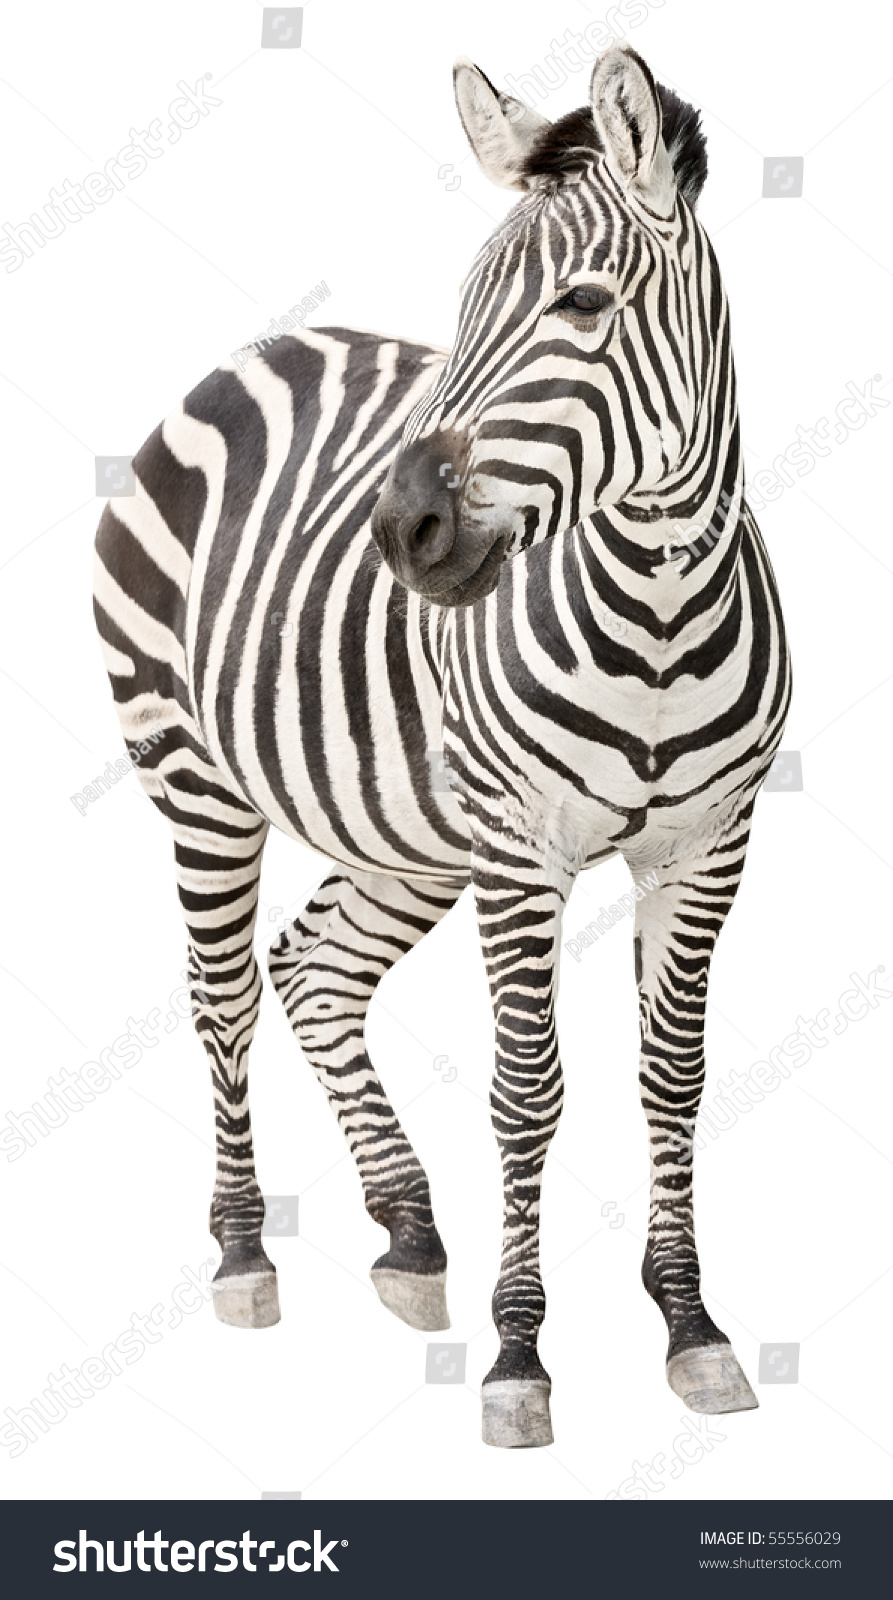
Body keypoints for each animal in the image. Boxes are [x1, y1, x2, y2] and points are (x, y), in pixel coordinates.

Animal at [93, 45, 790, 1449]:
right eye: (461, 310)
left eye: (581, 304)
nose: (400, 530)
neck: (657, 614)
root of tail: (241, 358)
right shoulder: (521, 858)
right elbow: (527, 1093)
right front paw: (518, 1358)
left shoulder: (706, 849)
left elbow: (672, 1080)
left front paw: (690, 1326)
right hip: (193, 779)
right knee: (222, 994)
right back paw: (242, 1252)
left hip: (400, 830)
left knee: (311, 969)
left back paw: (412, 1234)